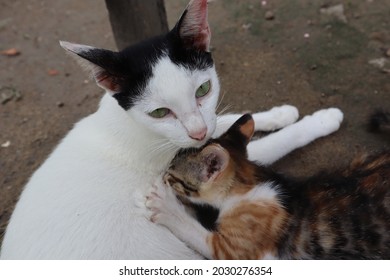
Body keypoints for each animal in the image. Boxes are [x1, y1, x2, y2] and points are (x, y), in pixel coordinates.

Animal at [0, 0, 342, 260]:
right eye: (160, 113)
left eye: (203, 89)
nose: (198, 133)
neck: (132, 123)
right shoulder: (190, 161)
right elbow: (268, 144)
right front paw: (320, 120)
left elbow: (225, 119)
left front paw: (278, 113)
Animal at [147, 113, 390, 258]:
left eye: (171, 174)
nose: (162, 173)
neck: (250, 183)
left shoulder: (234, 251)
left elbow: (195, 231)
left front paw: (166, 206)